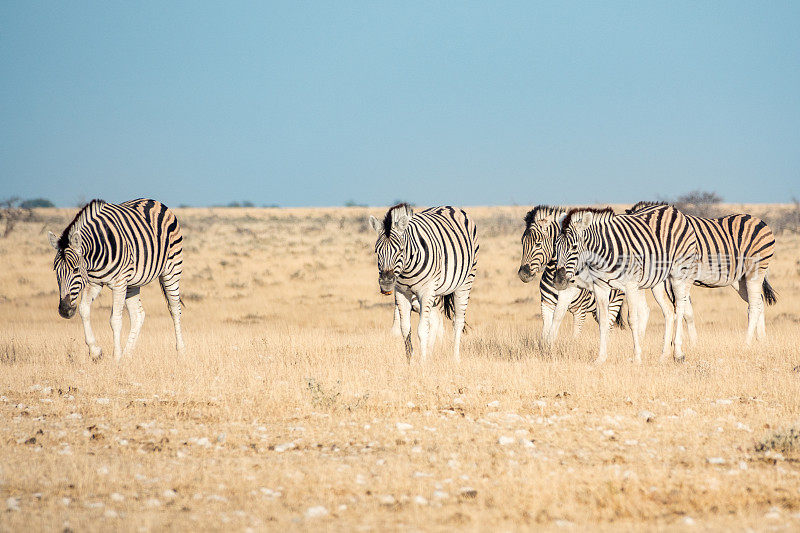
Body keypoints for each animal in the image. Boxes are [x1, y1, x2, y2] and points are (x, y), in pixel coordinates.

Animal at [49, 200, 187, 362]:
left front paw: (116, 357)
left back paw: (181, 352)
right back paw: (128, 354)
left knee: (175, 310)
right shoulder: (93, 283)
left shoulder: (119, 284)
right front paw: (95, 351)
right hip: (133, 283)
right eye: (56, 271)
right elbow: (84, 310)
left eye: (76, 269)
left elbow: (115, 319)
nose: (64, 310)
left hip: (172, 270)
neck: (95, 254)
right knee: (138, 315)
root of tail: (155, 202)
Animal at [370, 203, 478, 362]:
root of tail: (449, 206)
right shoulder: (401, 293)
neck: (407, 270)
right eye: (377, 251)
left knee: (457, 321)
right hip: (436, 293)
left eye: (400, 250)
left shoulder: (426, 291)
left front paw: (422, 362)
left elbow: (422, 329)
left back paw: (455, 358)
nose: (385, 284)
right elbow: (404, 328)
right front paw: (410, 361)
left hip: (465, 282)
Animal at [516, 206, 628, 342]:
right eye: (522, 242)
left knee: (609, 327)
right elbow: (545, 333)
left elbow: (574, 336)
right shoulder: (546, 305)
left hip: (614, 302)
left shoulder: (579, 310)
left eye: (538, 244)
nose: (523, 274)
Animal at [552, 203, 696, 362]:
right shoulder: (600, 287)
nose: (558, 281)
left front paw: (637, 357)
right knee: (669, 311)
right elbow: (603, 321)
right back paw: (664, 355)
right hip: (657, 281)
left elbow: (633, 320)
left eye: (574, 247)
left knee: (680, 308)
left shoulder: (630, 286)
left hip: (679, 273)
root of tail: (672, 208)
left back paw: (678, 353)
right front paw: (601, 358)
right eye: (556, 246)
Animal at [624, 202, 776, 342]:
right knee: (758, 301)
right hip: (740, 279)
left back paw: (747, 342)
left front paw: (686, 342)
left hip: (755, 270)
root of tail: (758, 220)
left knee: (755, 305)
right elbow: (683, 310)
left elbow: (682, 310)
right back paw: (761, 339)